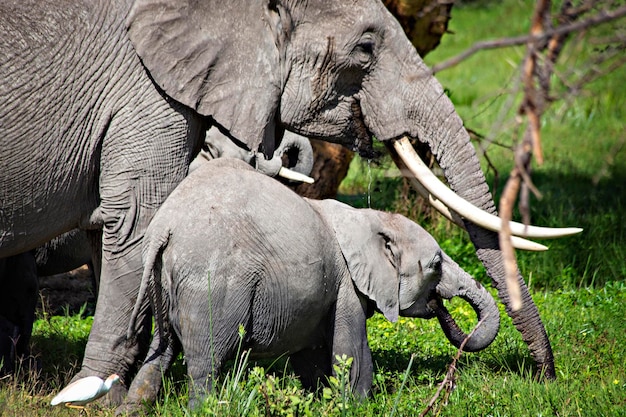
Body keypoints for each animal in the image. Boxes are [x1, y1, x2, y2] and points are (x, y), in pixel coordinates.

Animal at [124, 158, 500, 408]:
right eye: (436, 265)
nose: (443, 308)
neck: (369, 218)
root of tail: (164, 228)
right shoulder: (346, 284)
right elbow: (351, 352)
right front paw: (357, 407)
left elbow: (312, 355)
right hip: (213, 284)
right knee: (207, 362)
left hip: (164, 282)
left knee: (160, 353)